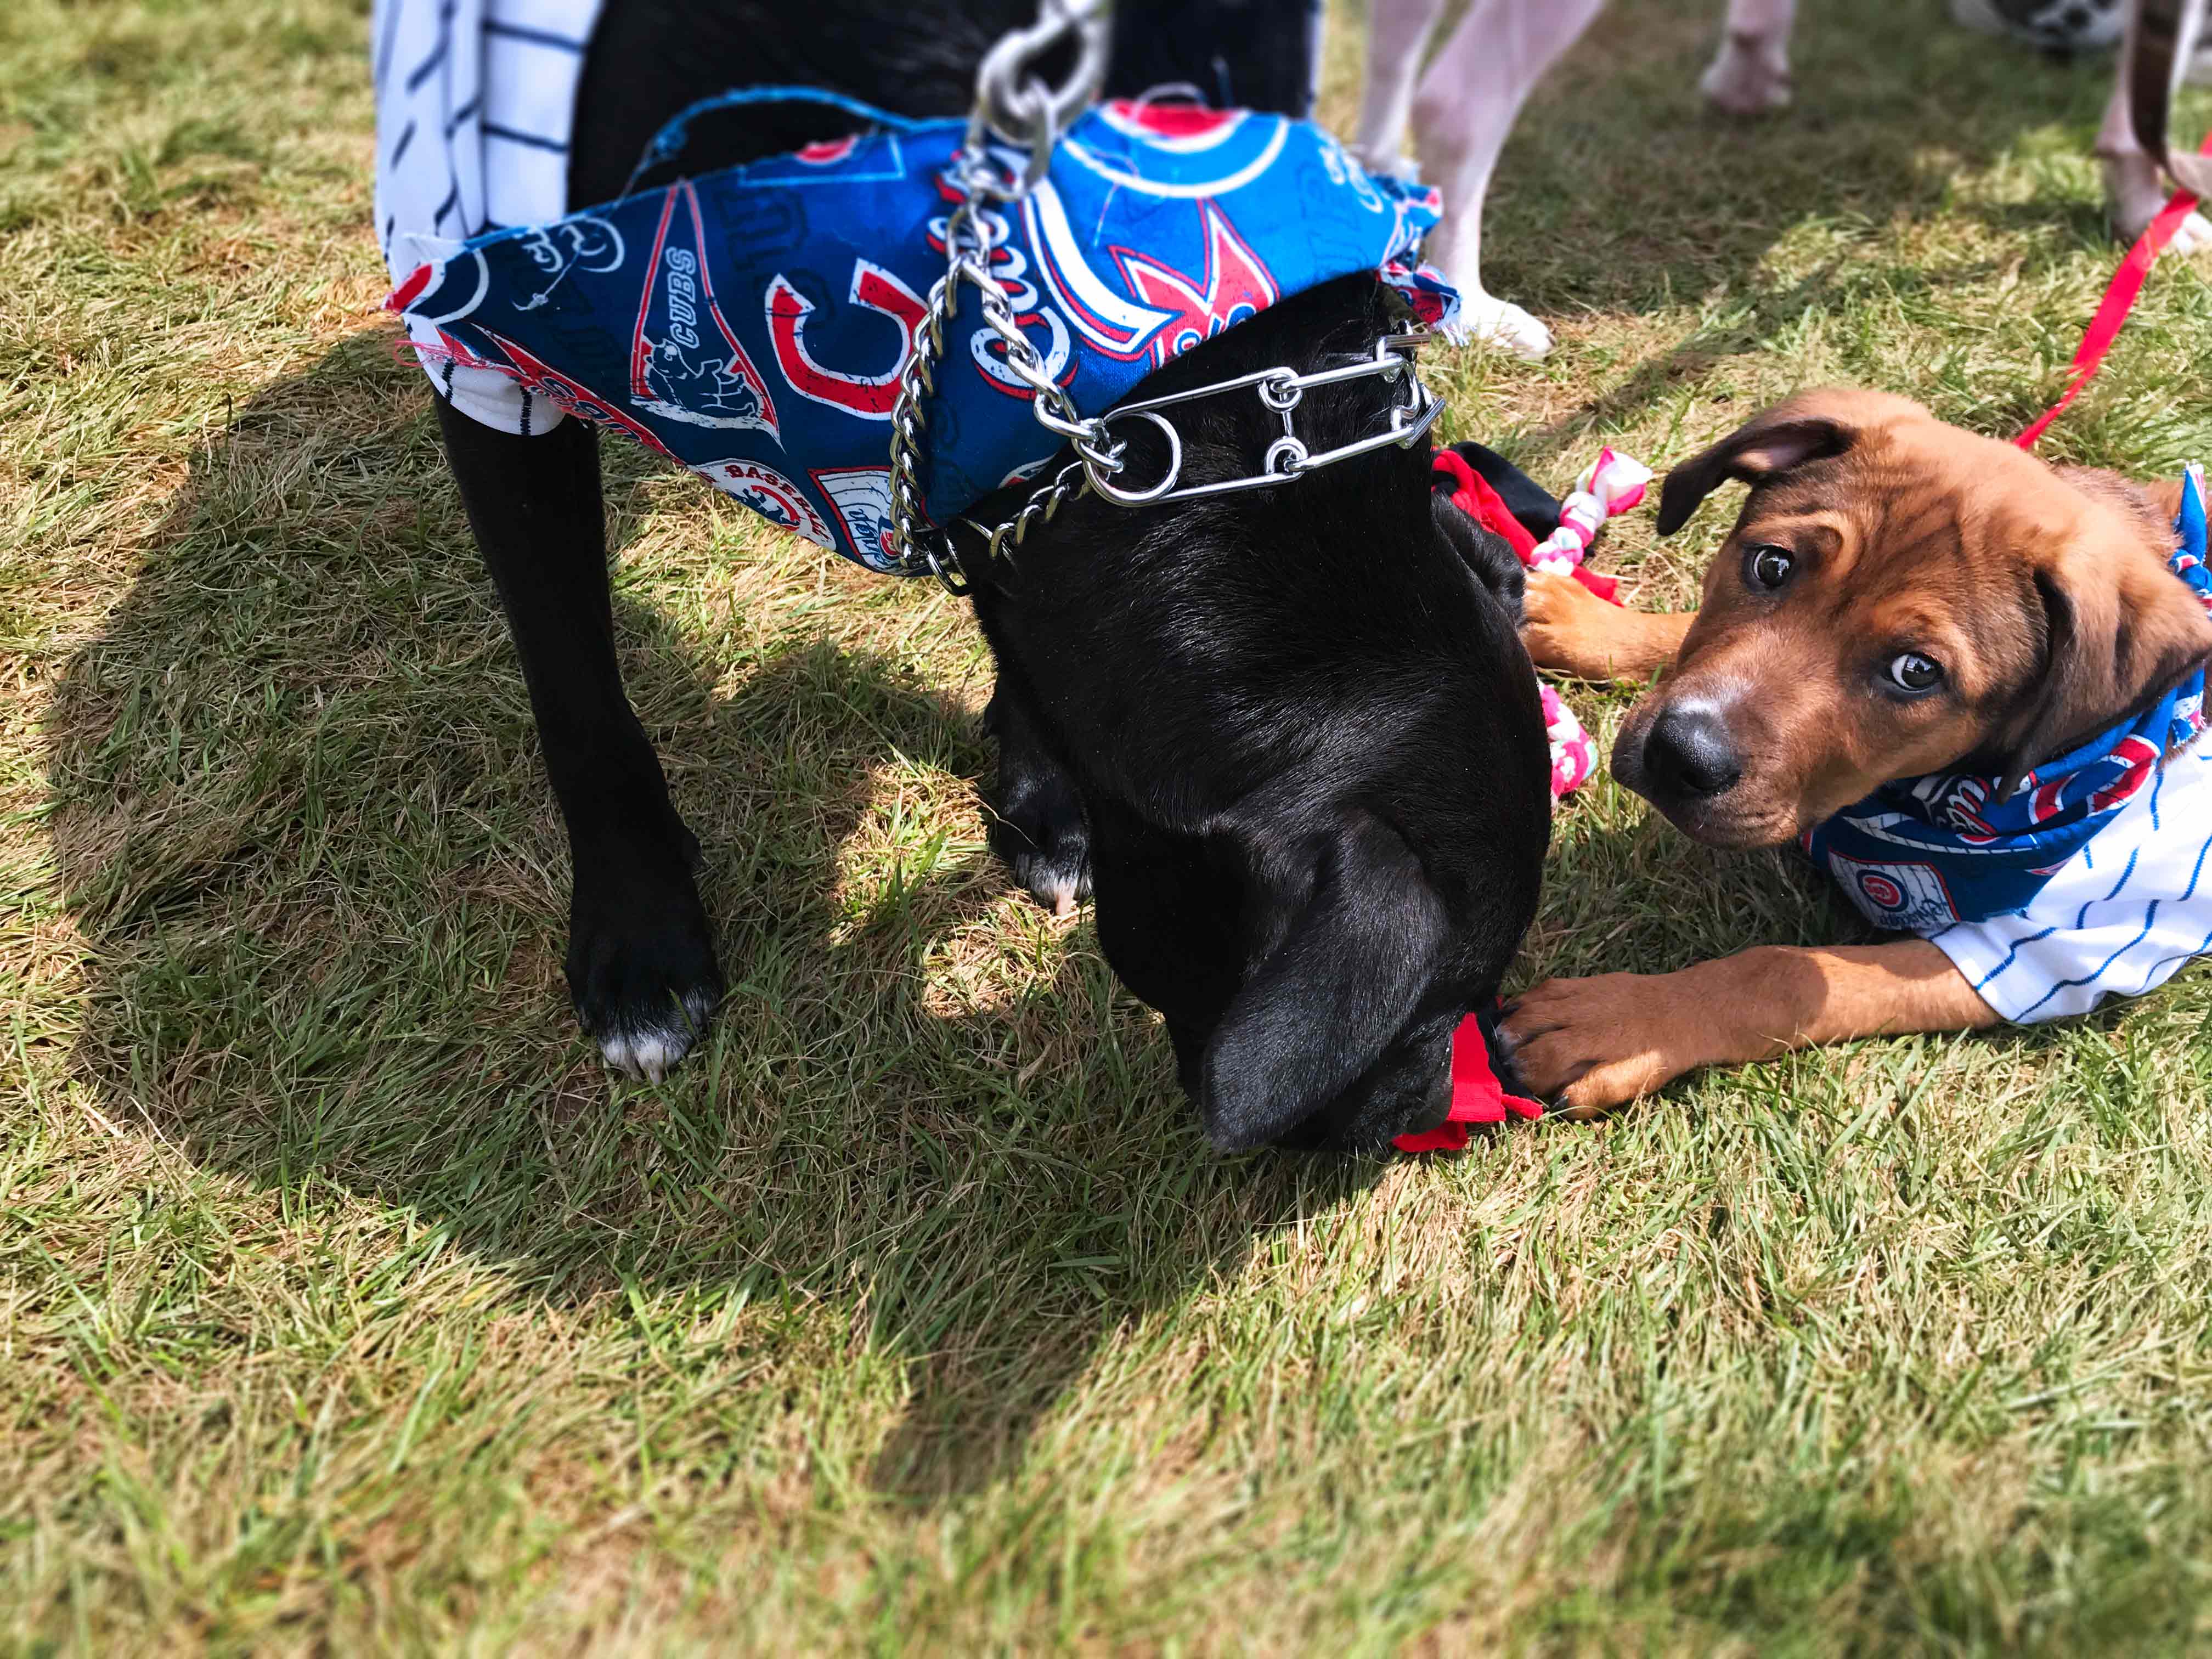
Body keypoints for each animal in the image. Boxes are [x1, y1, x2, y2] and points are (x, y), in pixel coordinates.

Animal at [418, 0, 1557, 1159]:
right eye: (1435, 1006)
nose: (1442, 1109)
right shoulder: (484, 340)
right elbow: (577, 695)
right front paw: (640, 940)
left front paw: (1044, 802)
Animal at [1504, 389, 2212, 1119]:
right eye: (1772, 565)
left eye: (1916, 672)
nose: (1680, 757)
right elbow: (1682, 635)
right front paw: (1590, 623)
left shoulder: (2049, 950)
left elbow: (1785, 973)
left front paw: (1622, 1023)